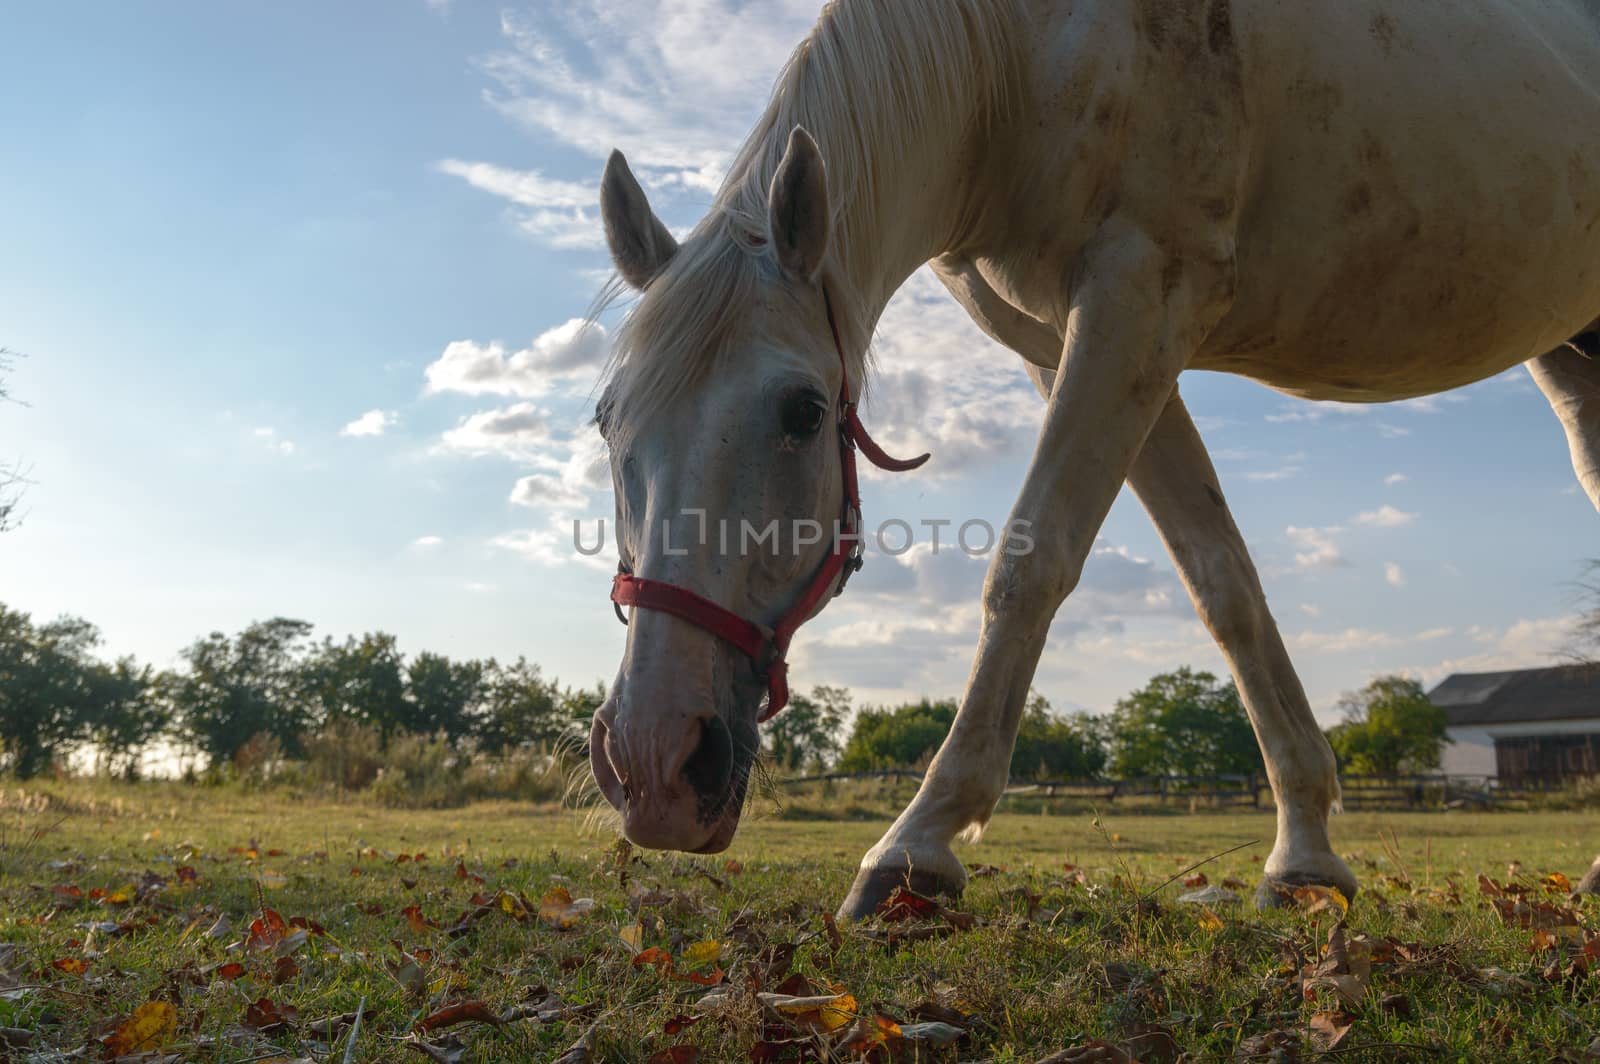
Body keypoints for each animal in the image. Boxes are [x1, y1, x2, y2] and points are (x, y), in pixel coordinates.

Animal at [585, 0, 1600, 915]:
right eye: (606, 422)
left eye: (800, 411)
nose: (655, 762)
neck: (1016, 60)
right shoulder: (1074, 342)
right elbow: (1223, 586)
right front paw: (1304, 859)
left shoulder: (1139, 298)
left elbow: (1031, 562)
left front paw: (916, 847)